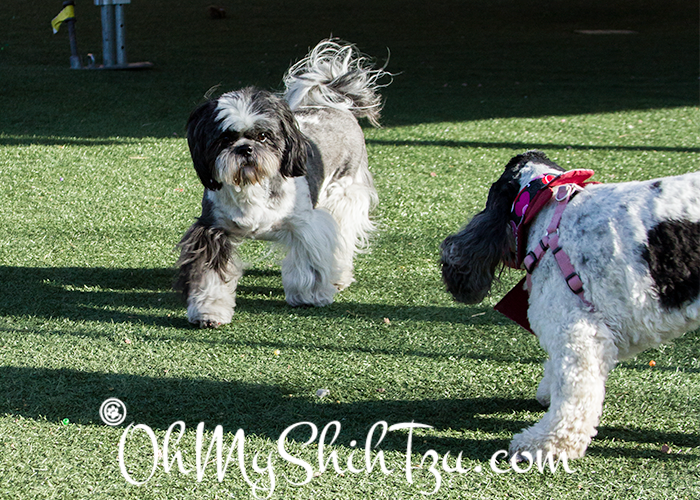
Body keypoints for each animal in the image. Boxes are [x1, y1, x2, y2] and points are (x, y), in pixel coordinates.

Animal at [175, 40, 388, 328]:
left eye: (264, 136)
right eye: (224, 139)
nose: (245, 149)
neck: (253, 186)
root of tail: (336, 106)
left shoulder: (306, 227)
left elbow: (309, 264)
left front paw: (309, 296)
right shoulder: (212, 230)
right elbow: (210, 276)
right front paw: (209, 311)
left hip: (344, 197)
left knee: (342, 238)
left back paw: (338, 276)